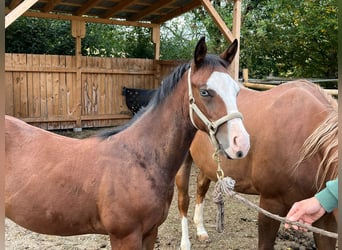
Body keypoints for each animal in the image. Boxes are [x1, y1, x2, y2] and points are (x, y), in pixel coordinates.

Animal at [4, 37, 250, 250]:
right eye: (205, 91)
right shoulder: (125, 236)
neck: (140, 160)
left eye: (237, 90)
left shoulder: (150, 232)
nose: (241, 144)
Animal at [176, 81, 336, 249]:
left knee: (201, 187)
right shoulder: (270, 203)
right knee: (183, 200)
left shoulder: (325, 217)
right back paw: (185, 242)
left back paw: (201, 230)